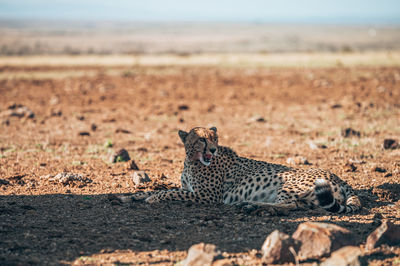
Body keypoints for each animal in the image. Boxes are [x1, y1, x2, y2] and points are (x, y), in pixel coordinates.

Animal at [117, 127, 360, 214]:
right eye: (202, 139)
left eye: (215, 138)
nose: (213, 149)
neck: (192, 160)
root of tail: (338, 177)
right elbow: (153, 190)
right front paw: (127, 197)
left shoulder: (207, 196)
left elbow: (168, 192)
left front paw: (152, 199)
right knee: (303, 205)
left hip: (288, 184)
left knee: (291, 205)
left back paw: (250, 205)